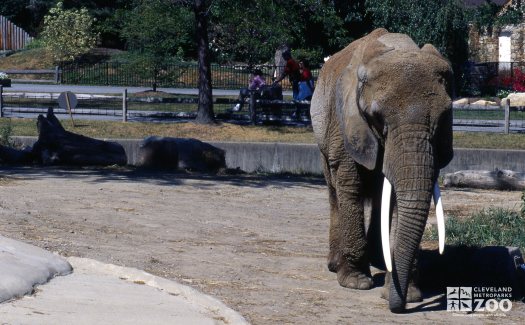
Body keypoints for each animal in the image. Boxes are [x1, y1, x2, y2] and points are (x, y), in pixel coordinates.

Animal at [310, 28, 452, 312]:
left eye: (445, 115)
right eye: (377, 117)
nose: (398, 307)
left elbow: (399, 196)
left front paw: (409, 295)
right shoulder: (345, 124)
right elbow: (350, 184)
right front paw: (355, 283)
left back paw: (378, 257)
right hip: (323, 138)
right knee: (334, 192)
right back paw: (336, 264)